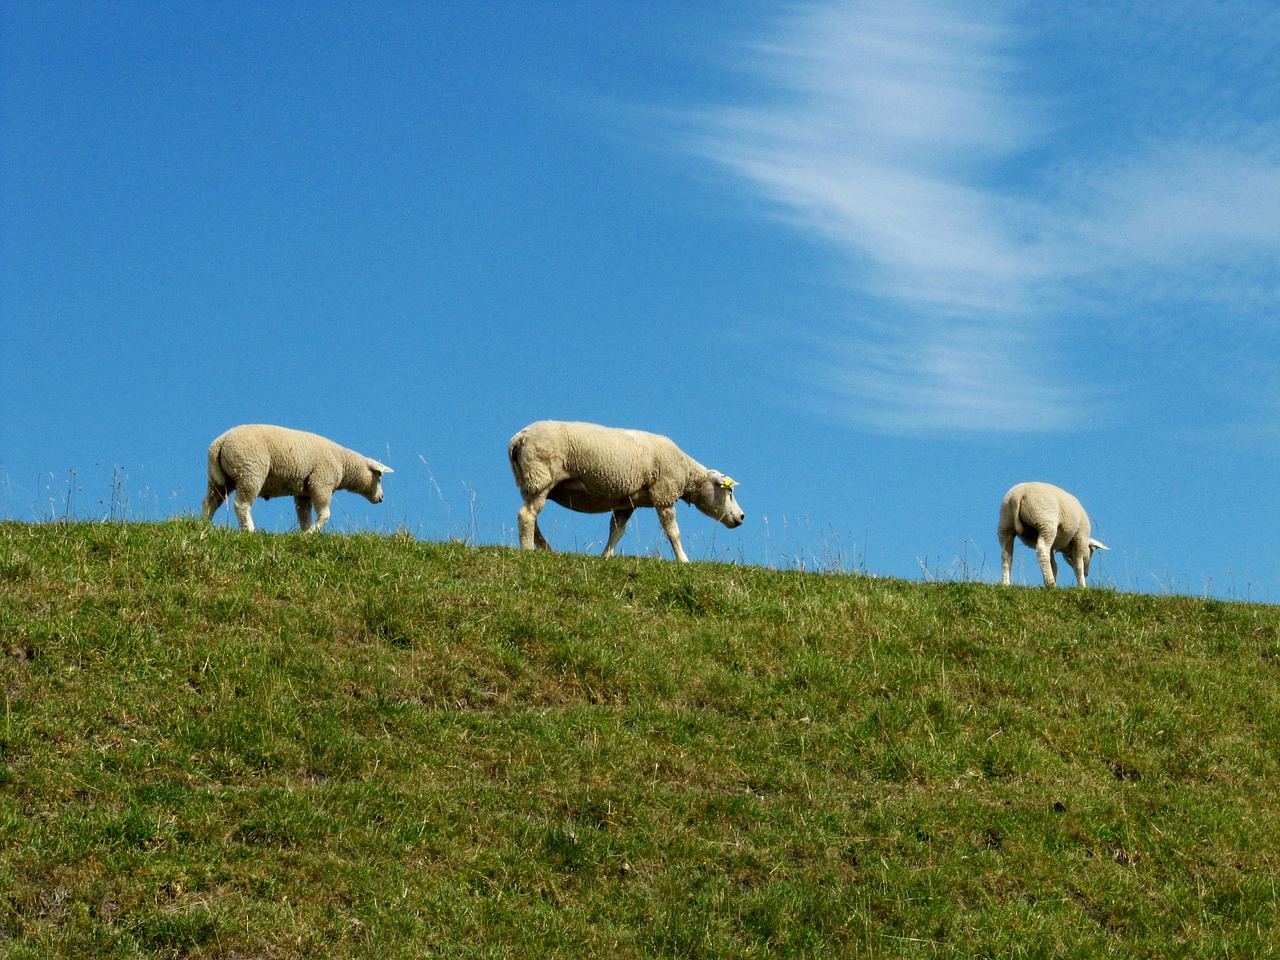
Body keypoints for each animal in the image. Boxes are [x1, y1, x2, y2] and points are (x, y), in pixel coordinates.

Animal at [202, 427, 391, 535]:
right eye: (379, 476)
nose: (382, 498)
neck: (343, 462)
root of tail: (219, 443)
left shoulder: (304, 491)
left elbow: (304, 516)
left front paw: (304, 533)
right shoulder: (322, 483)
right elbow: (325, 515)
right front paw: (311, 534)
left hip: (221, 479)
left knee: (210, 502)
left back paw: (204, 524)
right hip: (251, 471)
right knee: (241, 504)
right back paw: (249, 530)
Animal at [506, 419, 747, 563]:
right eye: (729, 492)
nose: (742, 516)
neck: (686, 472)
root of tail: (518, 439)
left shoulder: (627, 502)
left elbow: (616, 531)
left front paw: (606, 556)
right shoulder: (664, 493)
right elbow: (673, 531)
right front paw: (683, 560)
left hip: (529, 481)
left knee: (532, 518)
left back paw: (547, 550)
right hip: (541, 476)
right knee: (526, 515)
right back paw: (527, 551)